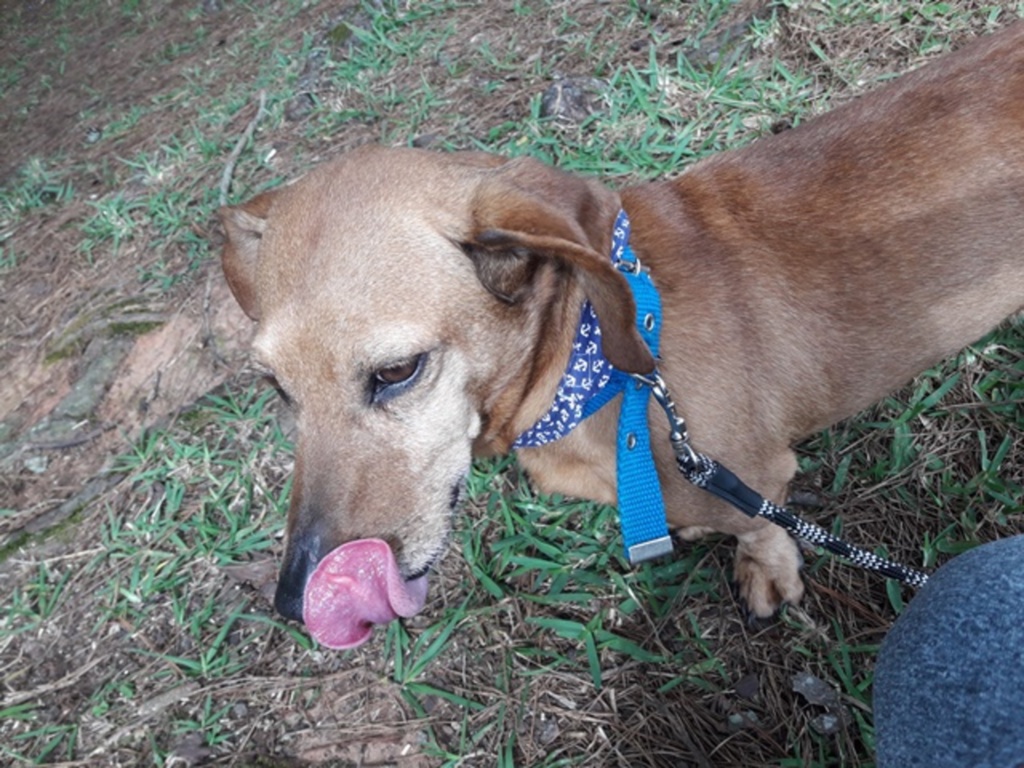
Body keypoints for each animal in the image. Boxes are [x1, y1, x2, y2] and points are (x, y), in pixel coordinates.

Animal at [216, 24, 1024, 647]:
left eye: (397, 372)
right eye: (276, 387)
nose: (293, 603)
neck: (596, 367)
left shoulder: (753, 482)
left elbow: (756, 528)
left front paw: (768, 570)